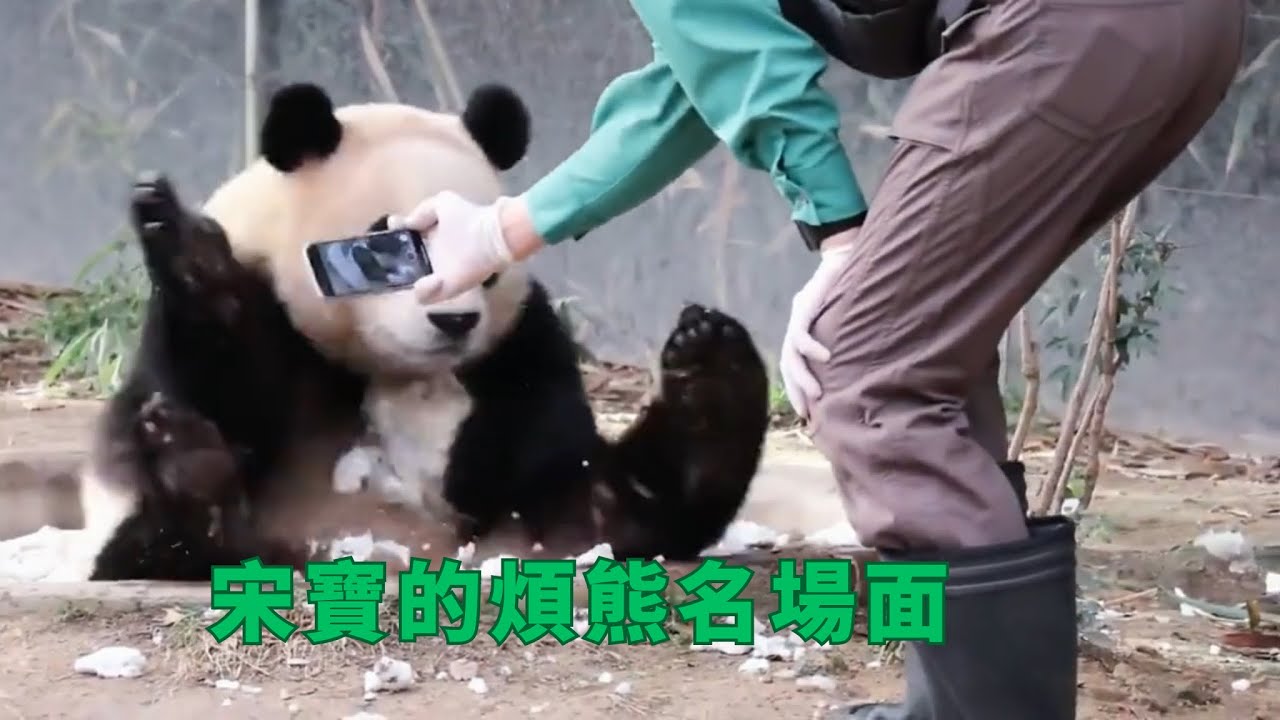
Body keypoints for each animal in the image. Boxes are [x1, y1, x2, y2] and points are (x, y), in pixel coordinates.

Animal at [65, 80, 772, 582]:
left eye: (481, 265)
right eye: (386, 245)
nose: (453, 322)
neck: (390, 367)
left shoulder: (519, 337)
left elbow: (539, 430)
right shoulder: (260, 307)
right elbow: (219, 376)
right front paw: (183, 242)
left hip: (552, 520)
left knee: (621, 505)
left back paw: (713, 372)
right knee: (166, 544)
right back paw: (188, 474)